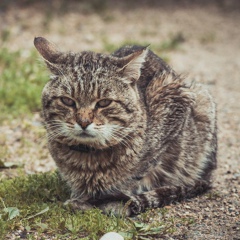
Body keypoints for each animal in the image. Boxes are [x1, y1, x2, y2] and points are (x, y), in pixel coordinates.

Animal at [34, 37, 218, 216]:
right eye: (67, 101)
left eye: (104, 103)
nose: (84, 122)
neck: (88, 158)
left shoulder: (174, 102)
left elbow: (139, 173)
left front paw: (107, 200)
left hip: (201, 99)